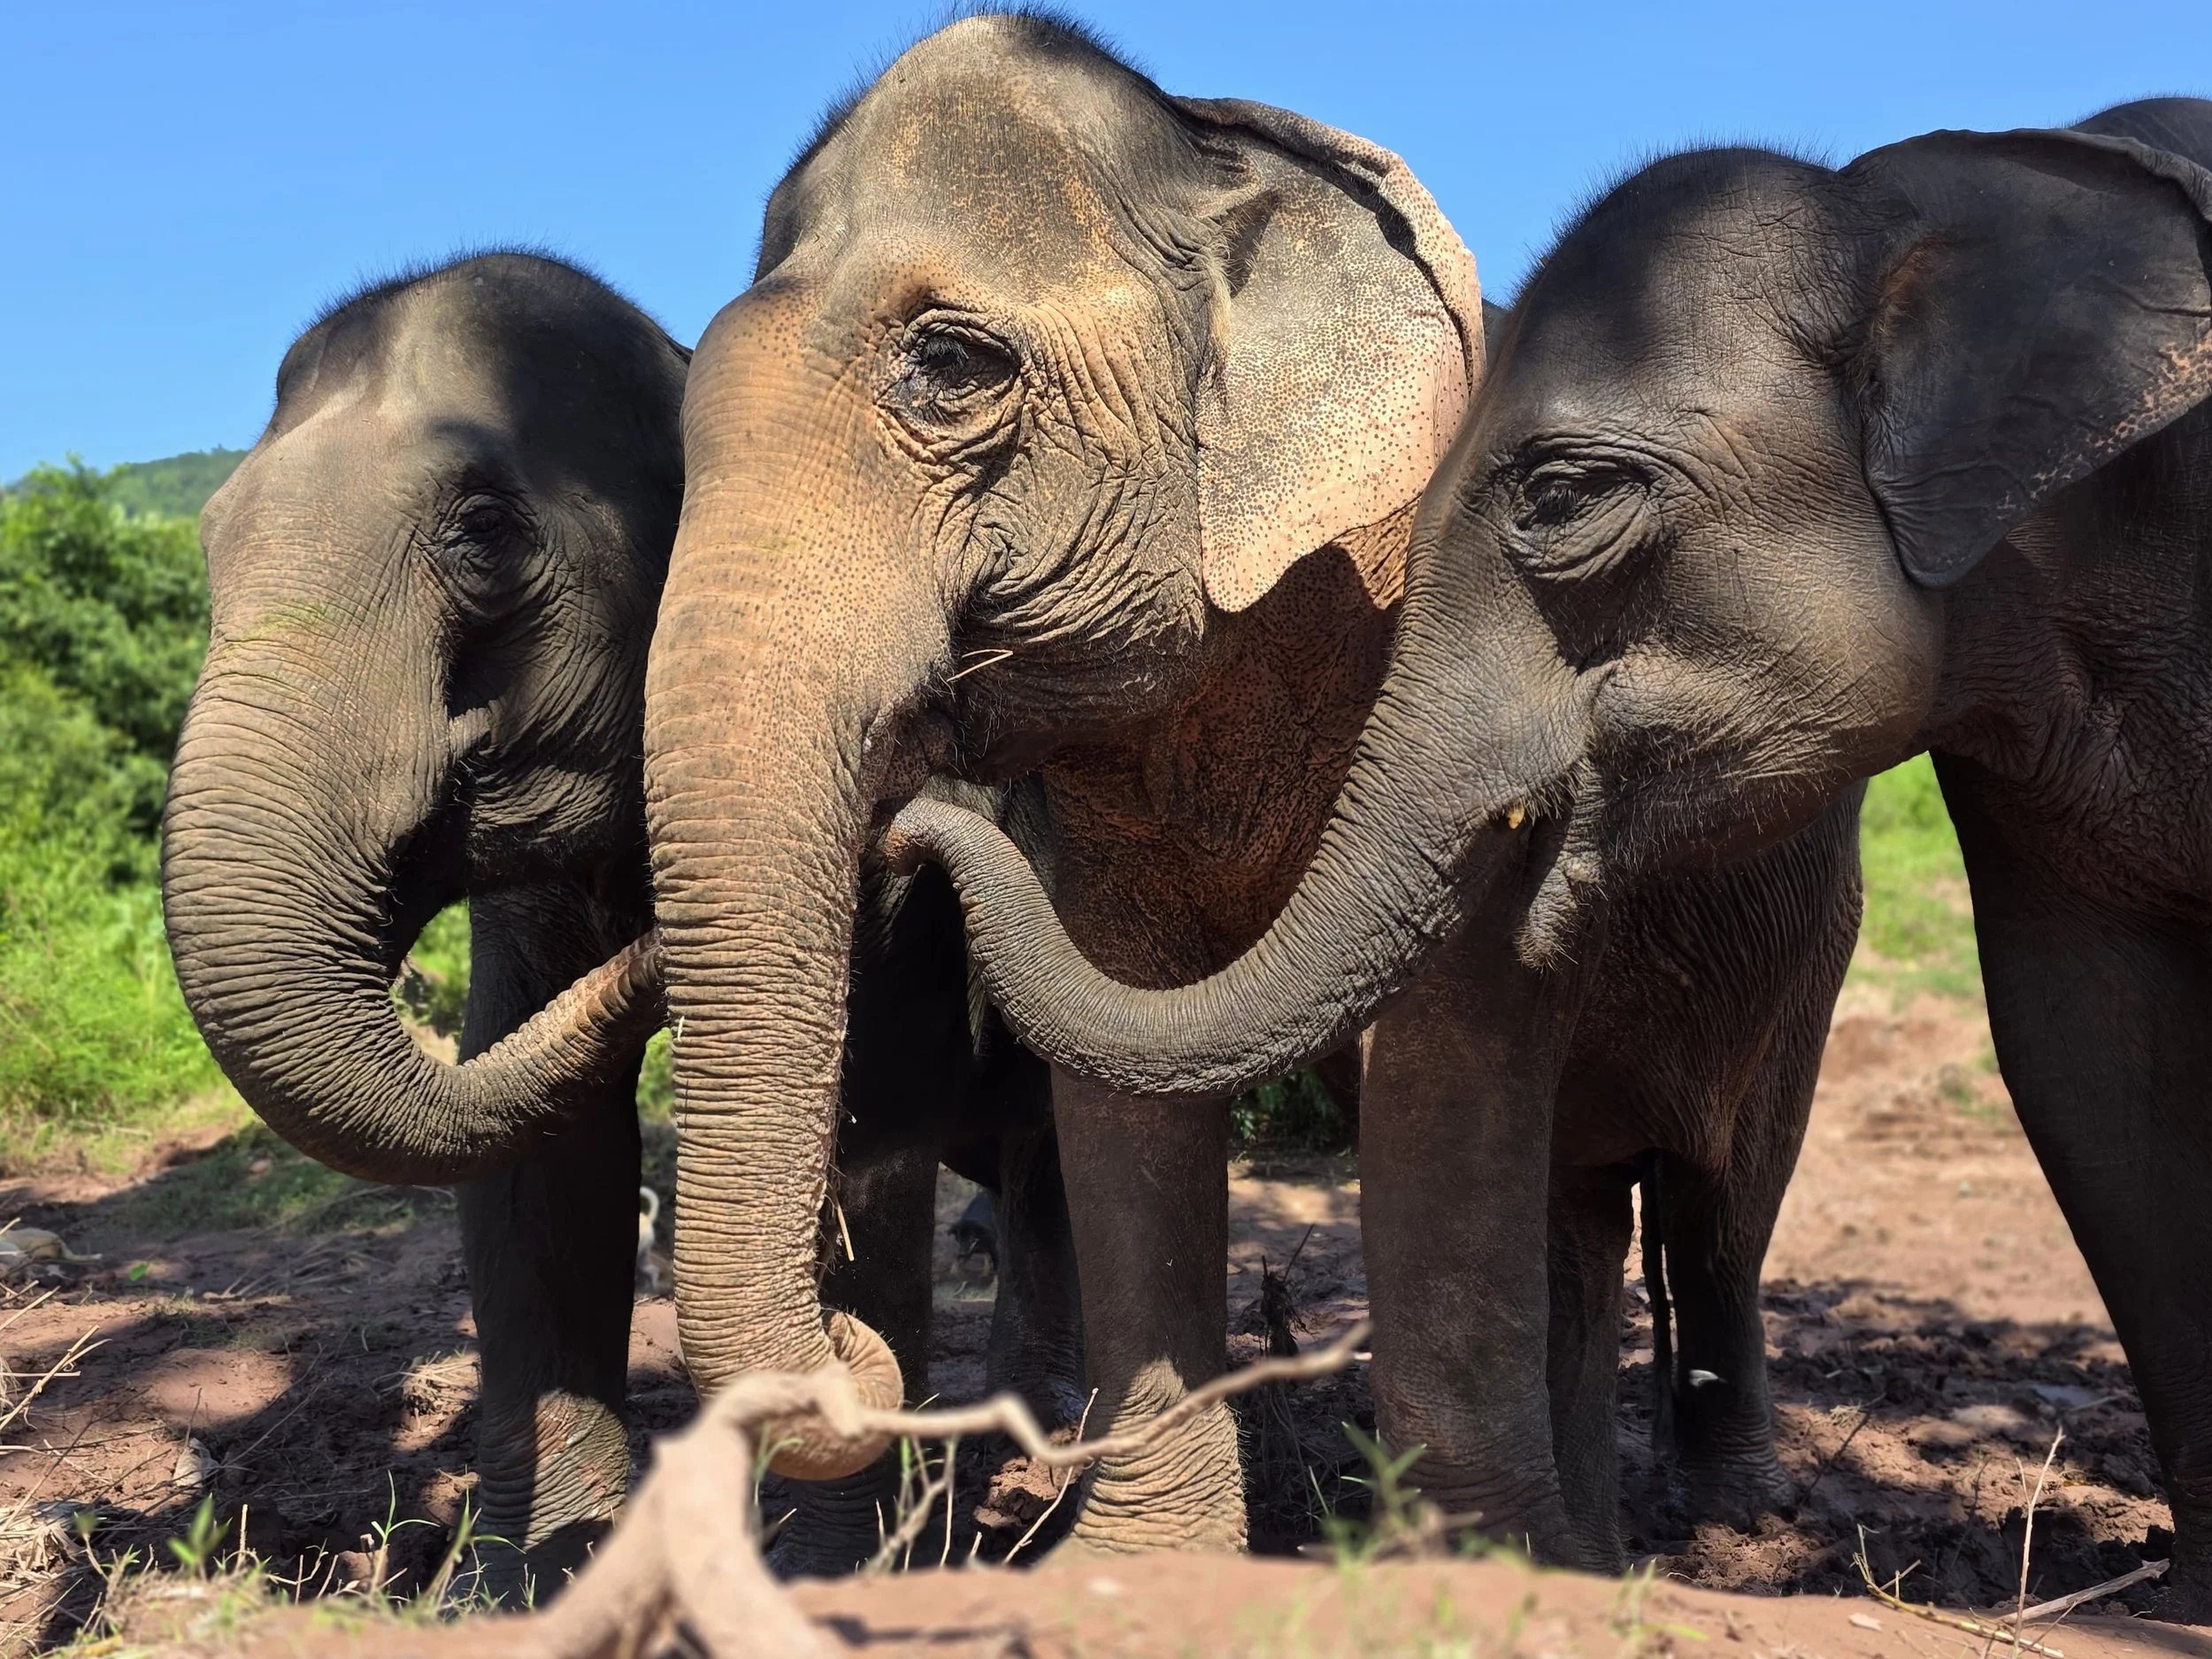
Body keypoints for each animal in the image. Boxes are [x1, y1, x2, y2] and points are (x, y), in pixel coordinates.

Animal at [160, 251, 1080, 1588]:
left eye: (484, 532)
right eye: (210, 538)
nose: (901, 836)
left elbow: (870, 1111)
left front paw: (821, 1572)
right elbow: (541, 1164)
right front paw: (513, 1580)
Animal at [641, 11, 1861, 1567]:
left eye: (954, 363)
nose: (909, 822)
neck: (1219, 150)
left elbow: (1450, 1046)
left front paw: (1461, 1568)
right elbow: (1117, 1064)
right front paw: (1136, 1563)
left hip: (1807, 944)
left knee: (1719, 1199)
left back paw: (1730, 1524)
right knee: (1580, 1210)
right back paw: (1593, 1538)